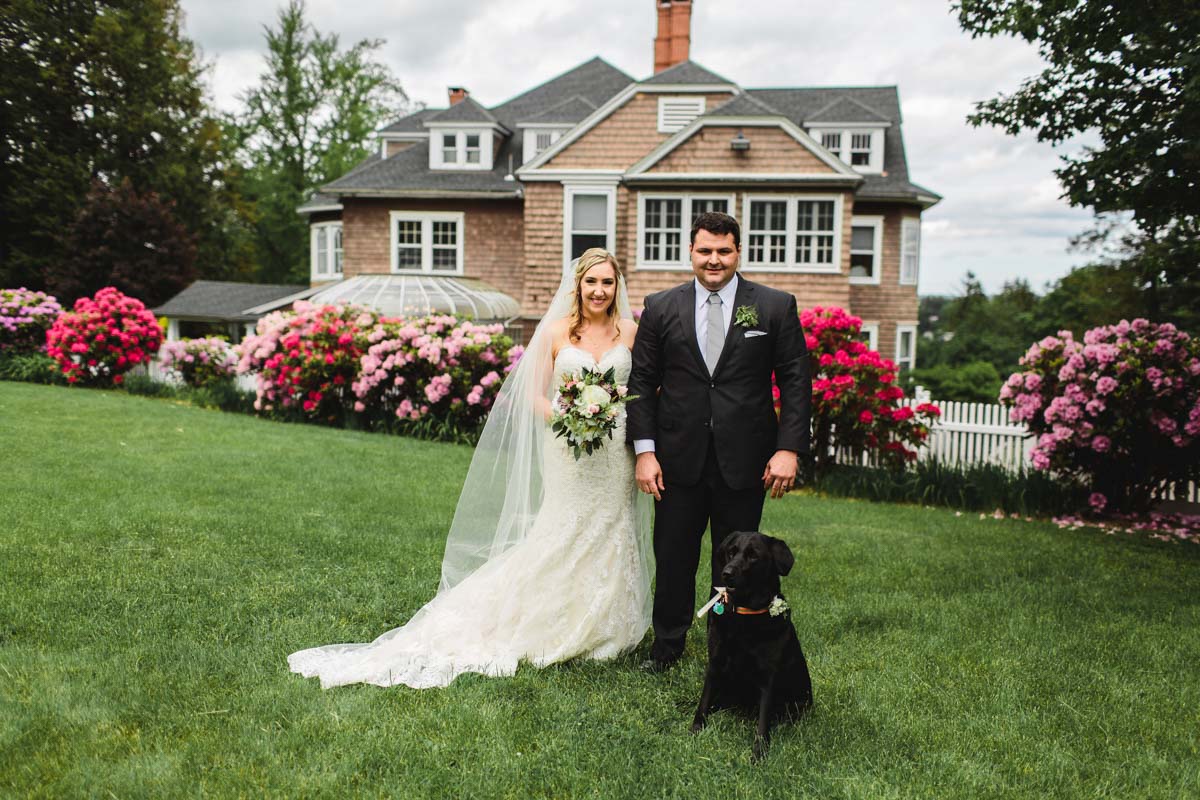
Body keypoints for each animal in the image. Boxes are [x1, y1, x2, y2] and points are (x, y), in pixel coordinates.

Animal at [691, 532, 811, 758]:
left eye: (753, 556)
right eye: (731, 552)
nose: (726, 573)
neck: (744, 615)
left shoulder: (767, 678)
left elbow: (763, 721)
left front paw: (759, 752)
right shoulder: (715, 665)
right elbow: (703, 702)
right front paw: (695, 729)